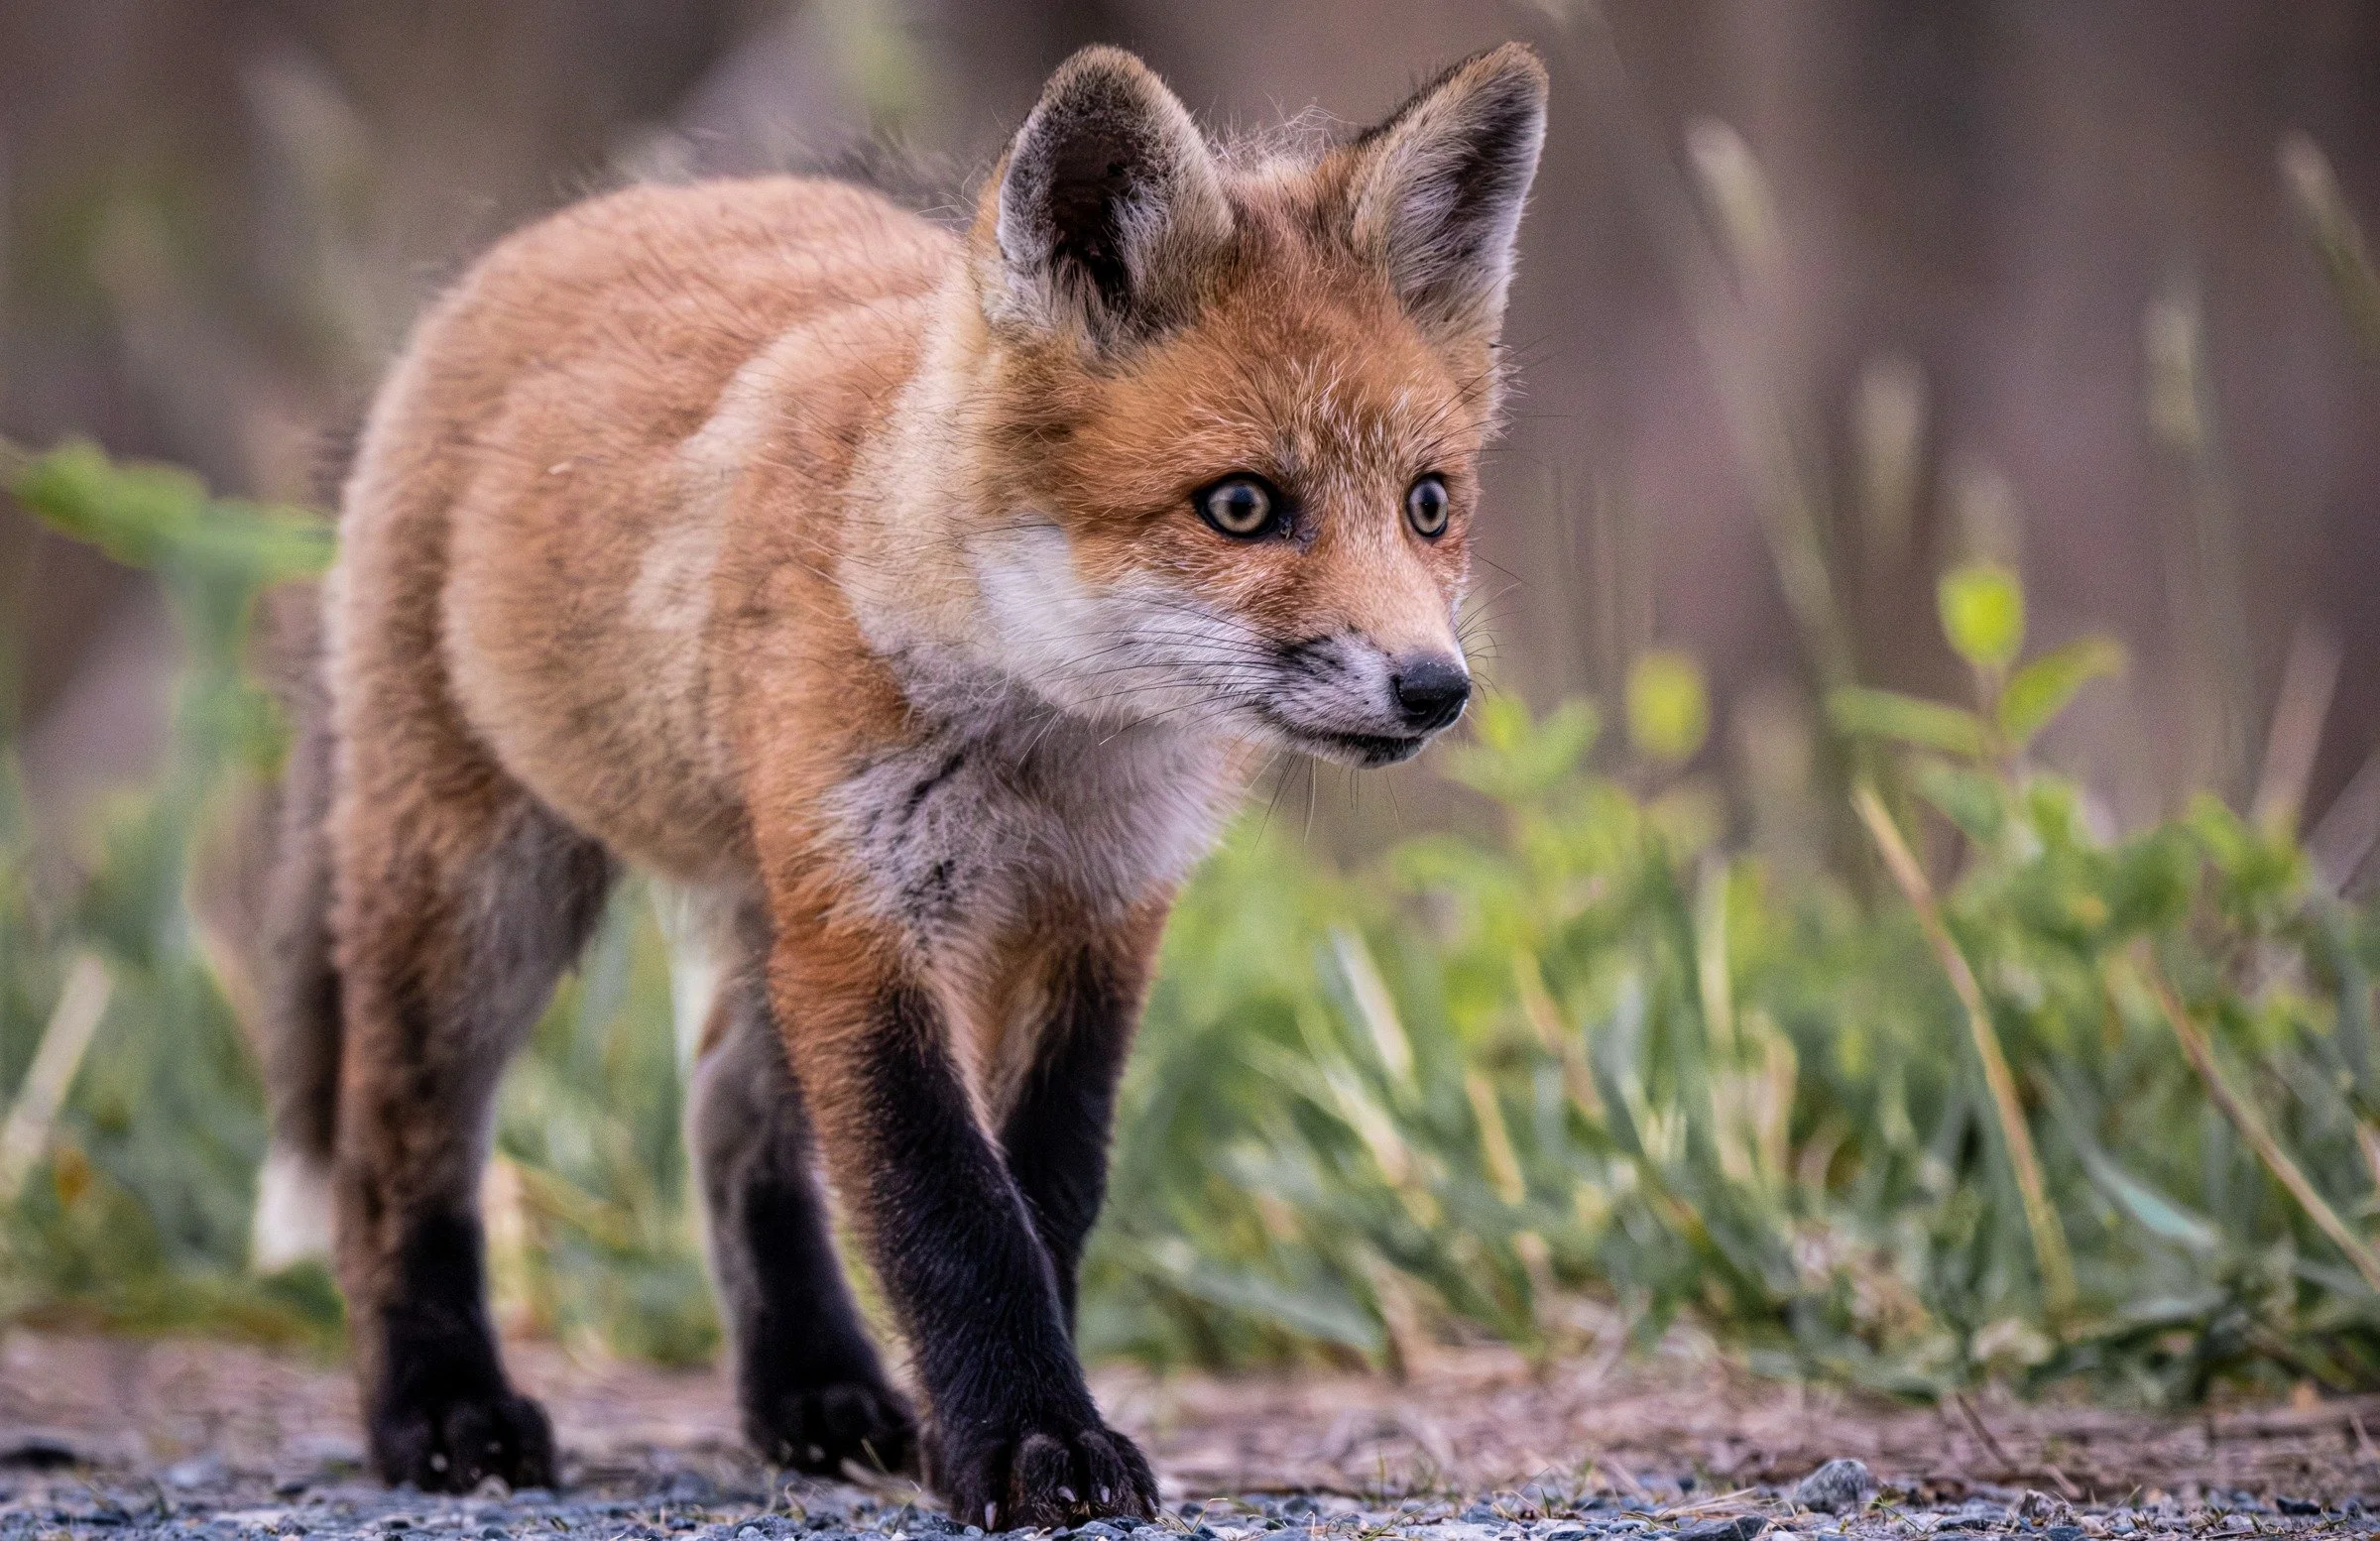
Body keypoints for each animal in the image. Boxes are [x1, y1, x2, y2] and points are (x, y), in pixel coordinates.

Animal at [247, 40, 1546, 1527]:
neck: (1049, 748)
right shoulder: (870, 925)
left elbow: (1044, 1199)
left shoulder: (1096, 919)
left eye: (1429, 504)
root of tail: (576, 221)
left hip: (763, 907)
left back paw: (811, 1390)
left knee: (728, 1121)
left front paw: (988, 1419)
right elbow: (951, 1213)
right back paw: (440, 1406)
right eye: (1241, 506)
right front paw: (1031, 1441)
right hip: (491, 889)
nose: (1435, 689)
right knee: (398, 1145)